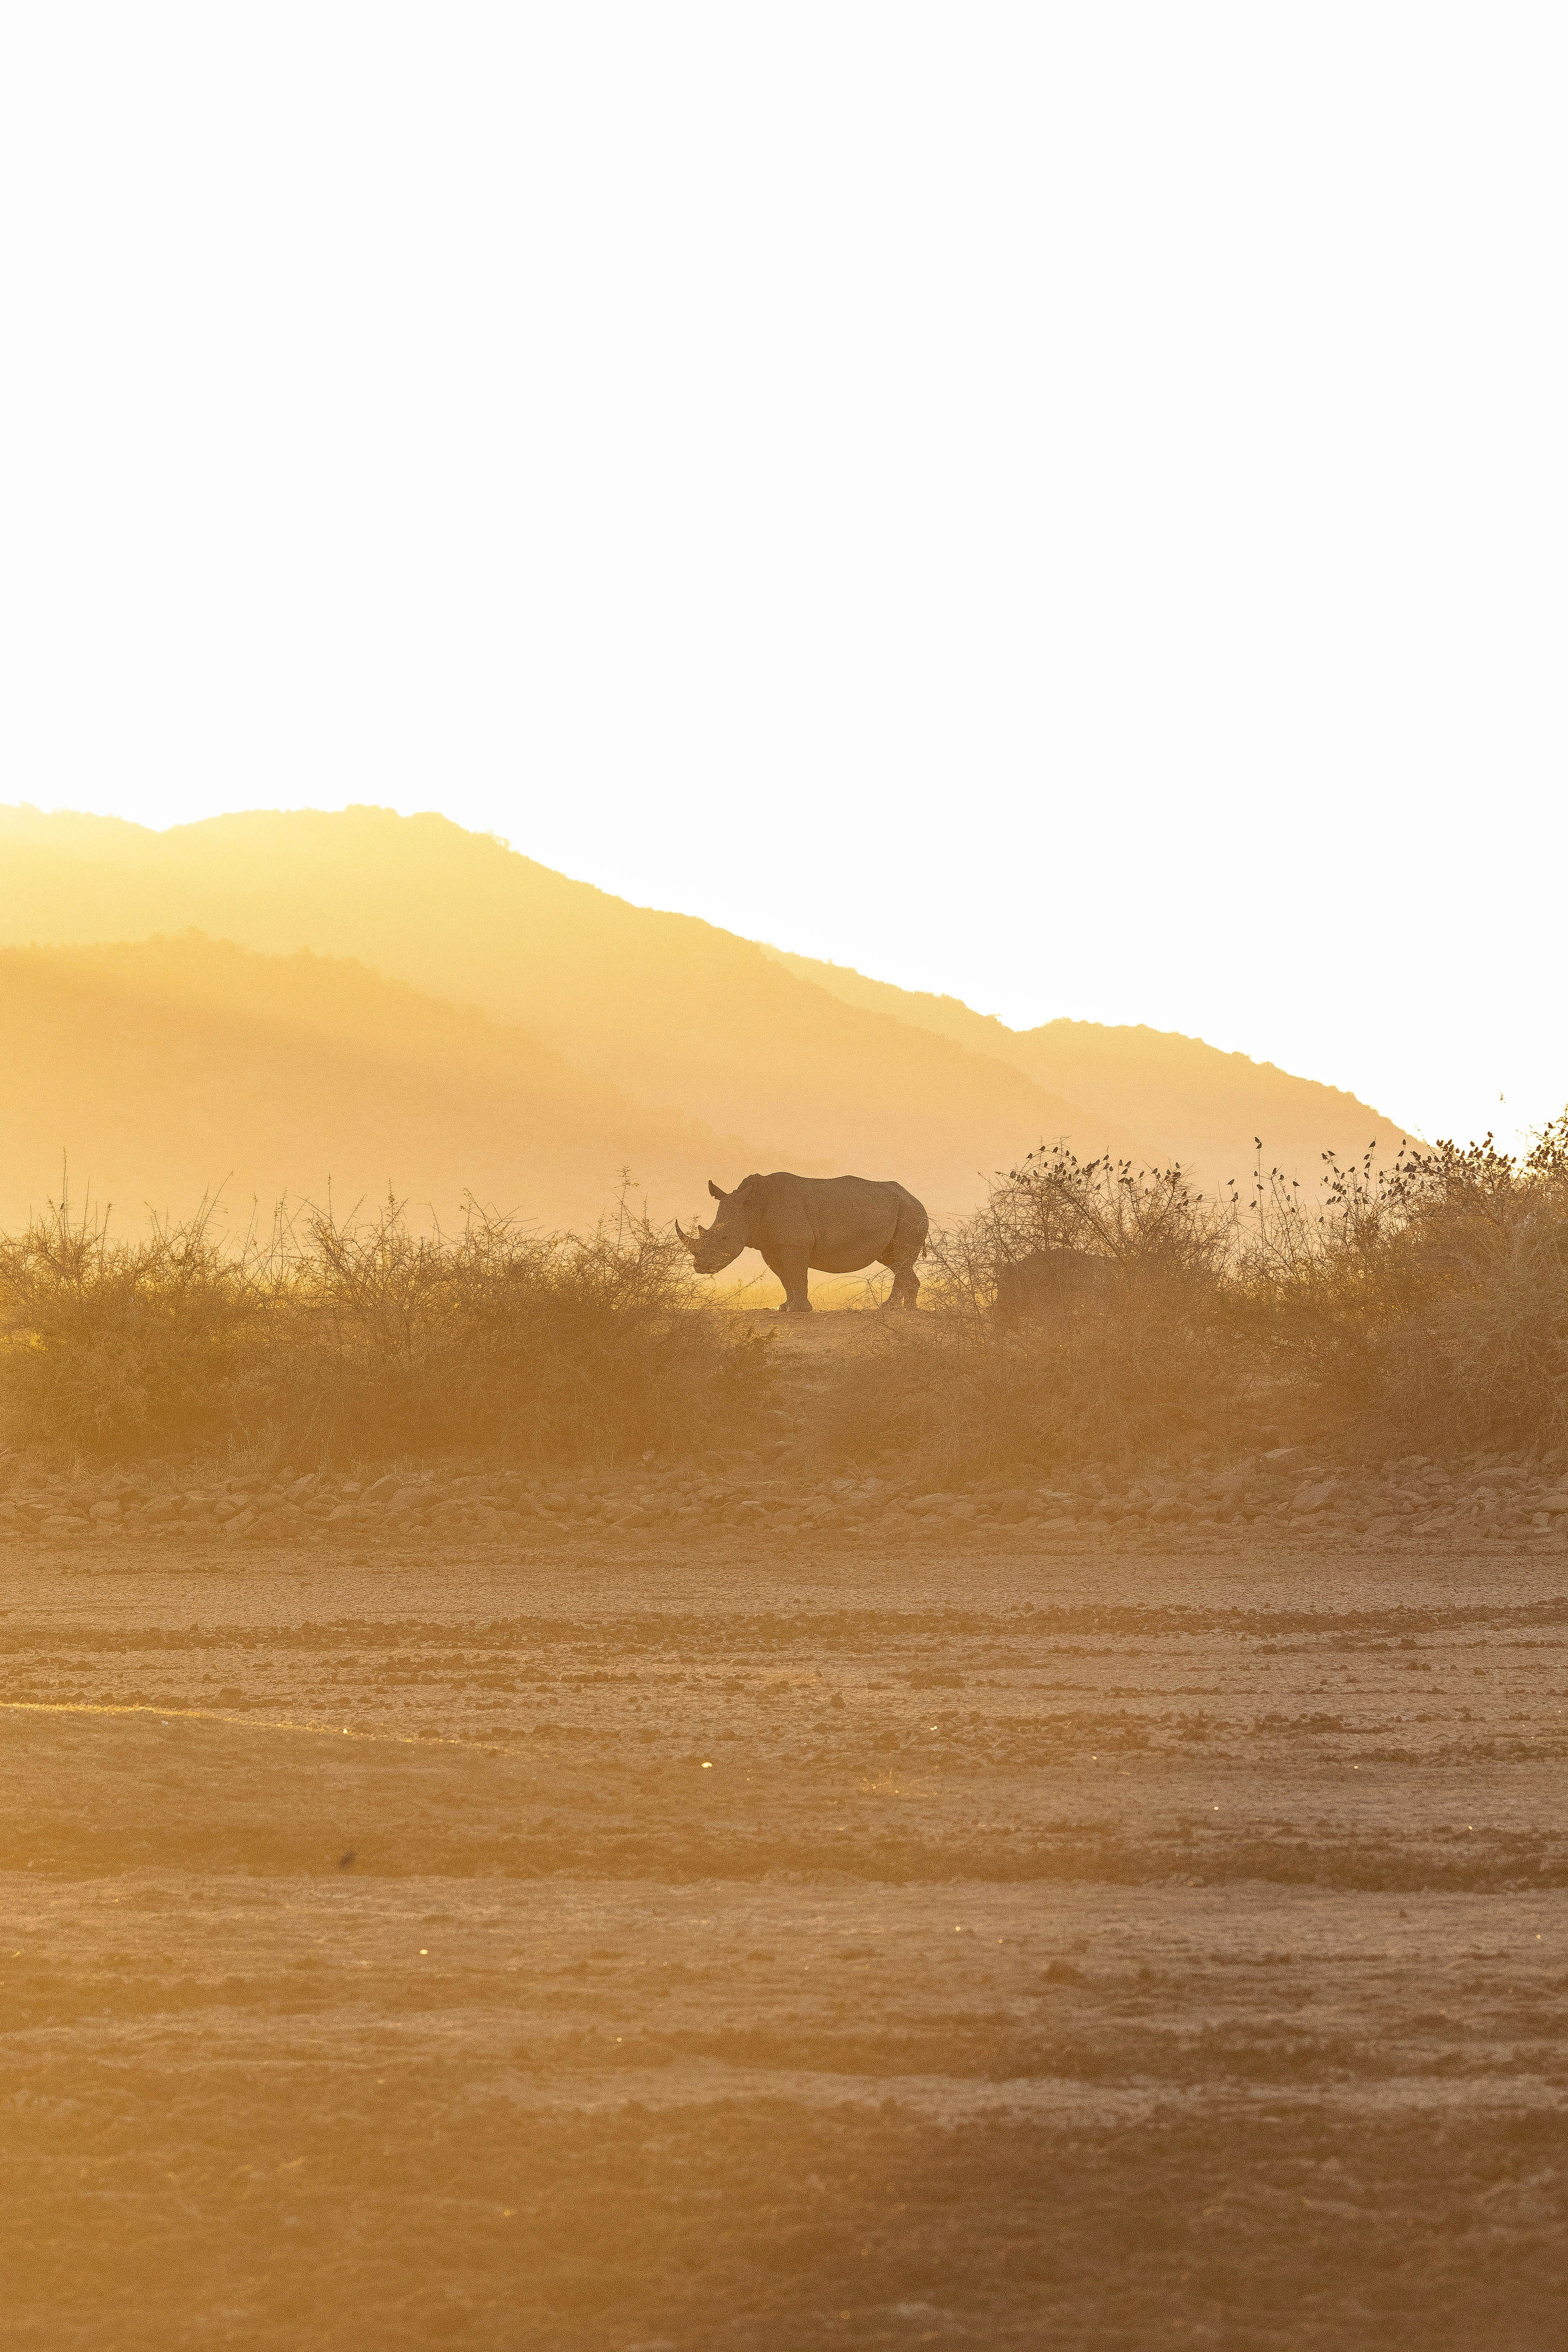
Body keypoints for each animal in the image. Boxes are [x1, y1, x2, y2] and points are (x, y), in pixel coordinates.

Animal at [676, 1172, 929, 1311]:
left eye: (725, 1238)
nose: (700, 1267)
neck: (750, 1206)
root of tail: (915, 1198)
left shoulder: (794, 1244)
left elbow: (797, 1274)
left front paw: (799, 1310)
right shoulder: (771, 1247)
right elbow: (785, 1277)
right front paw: (785, 1308)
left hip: (910, 1212)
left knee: (900, 1259)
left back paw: (890, 1310)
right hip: (903, 1212)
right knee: (894, 1261)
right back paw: (909, 1311)